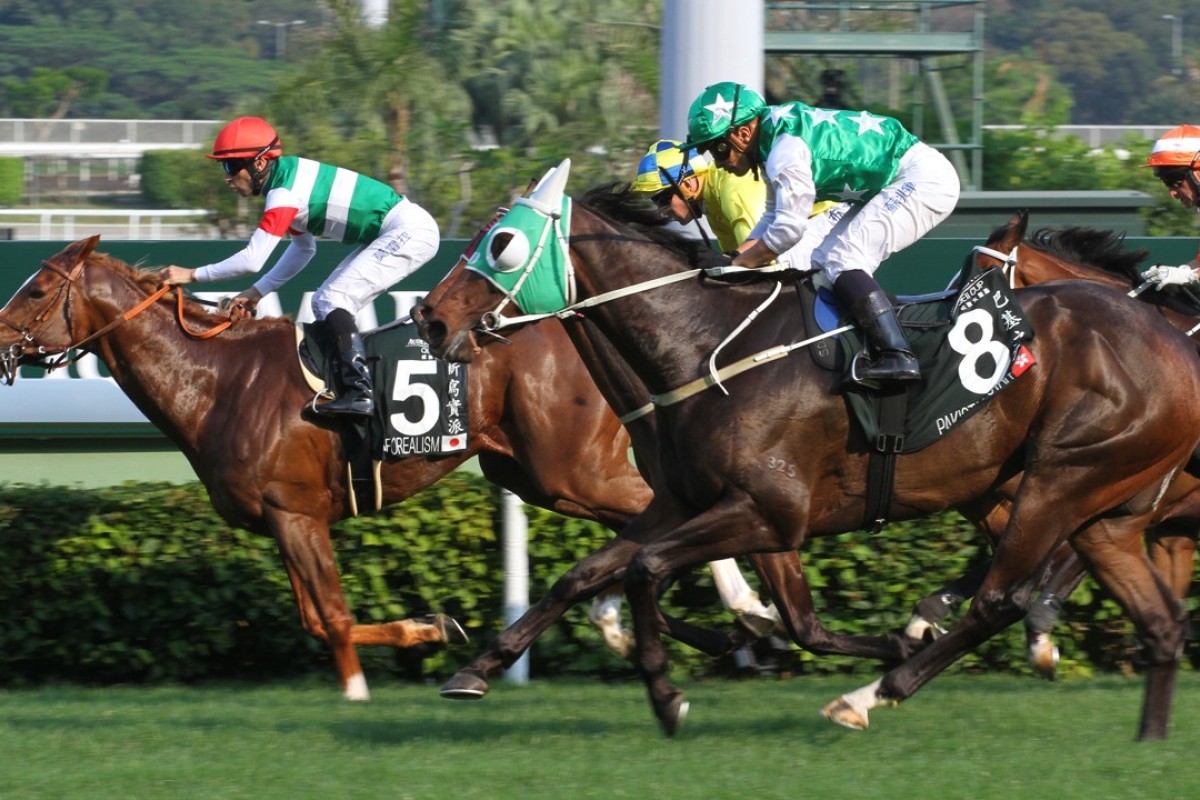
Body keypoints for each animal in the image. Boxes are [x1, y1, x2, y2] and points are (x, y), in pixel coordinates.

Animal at [415, 165, 1200, 743]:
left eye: (503, 244)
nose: (429, 317)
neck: (703, 346)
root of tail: (1171, 342)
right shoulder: (689, 504)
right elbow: (581, 578)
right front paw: (475, 668)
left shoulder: (768, 510)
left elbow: (648, 572)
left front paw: (668, 696)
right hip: (1101, 508)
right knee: (1156, 621)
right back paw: (1146, 737)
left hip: (1061, 479)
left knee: (1004, 597)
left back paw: (872, 694)